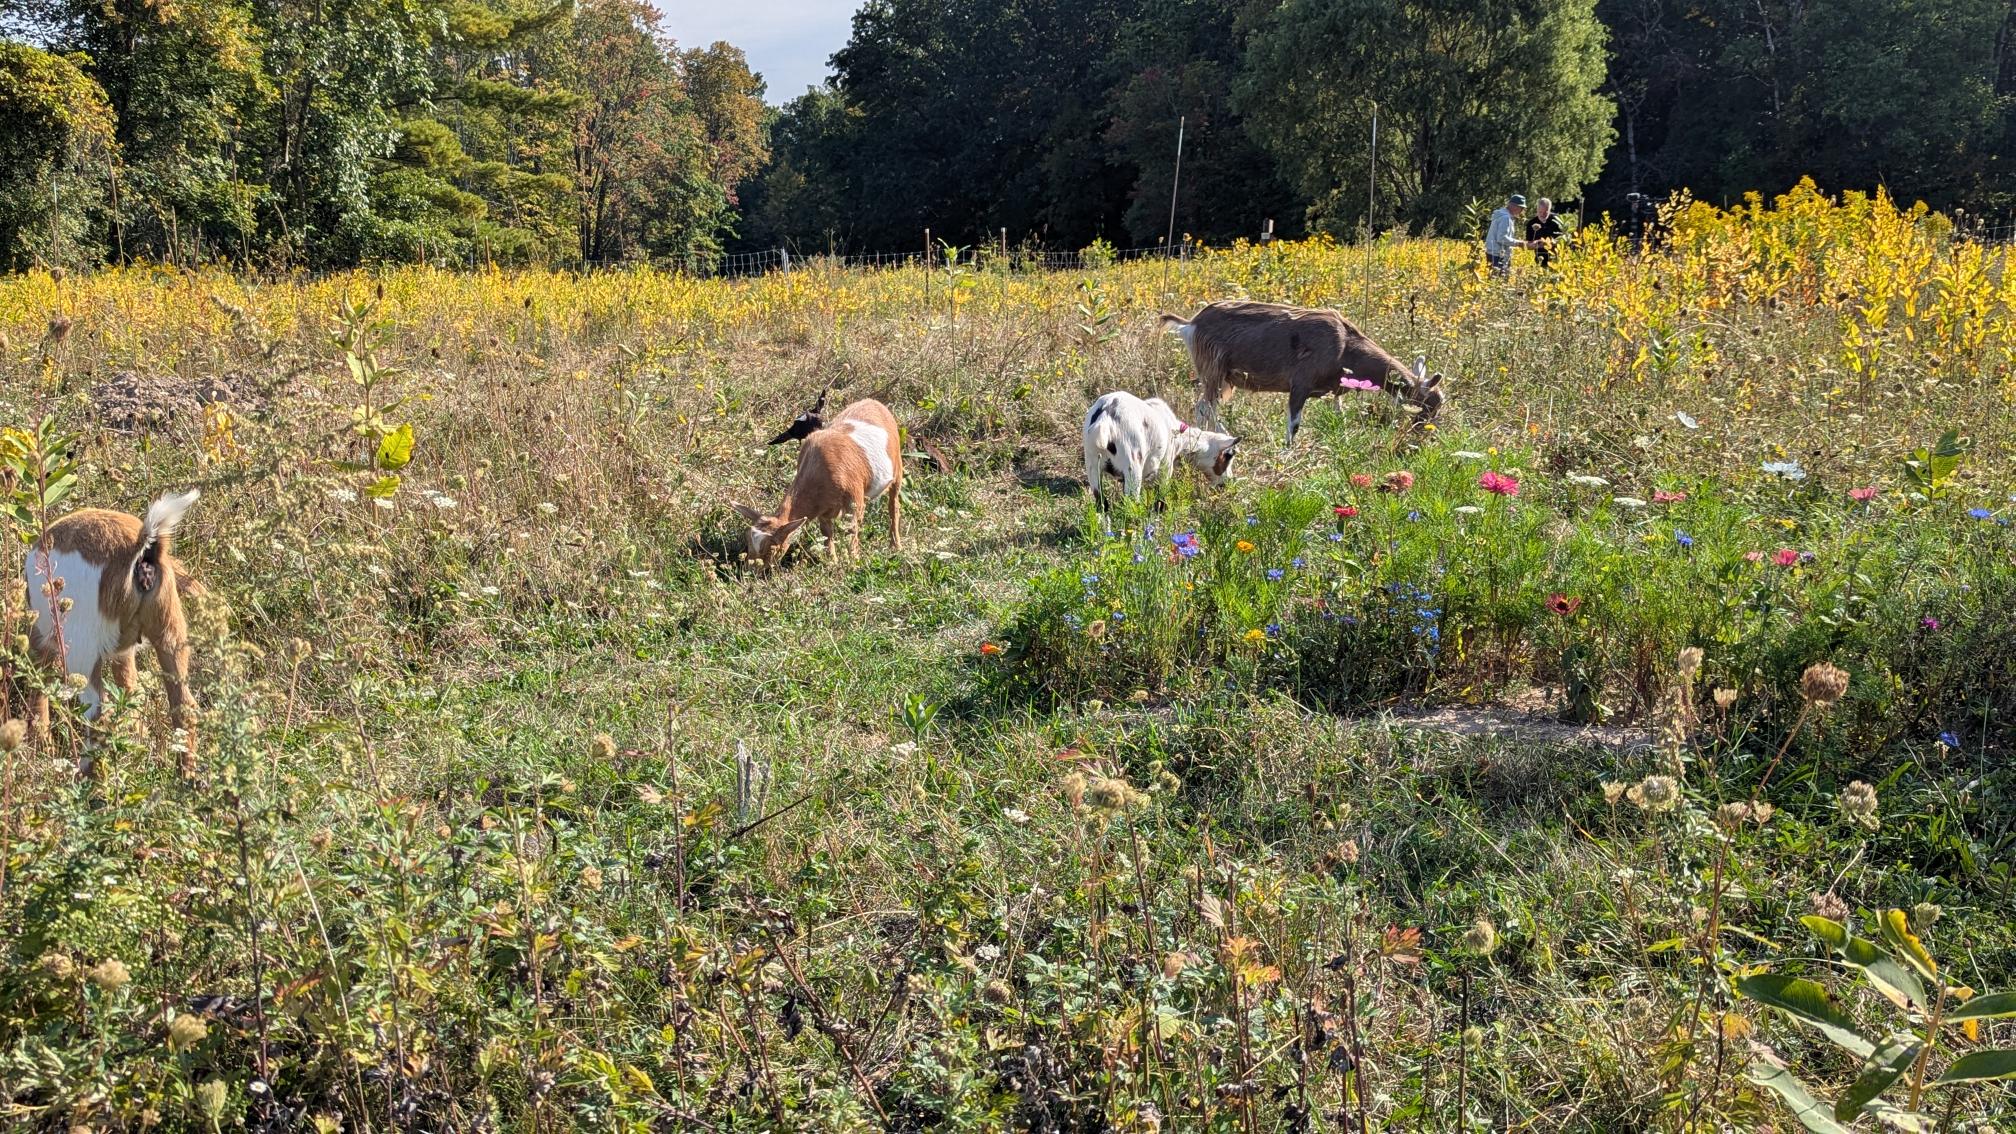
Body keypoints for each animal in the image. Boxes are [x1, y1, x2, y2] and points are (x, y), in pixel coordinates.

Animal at [25, 490, 201, 760]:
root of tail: (143, 546)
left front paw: (41, 745)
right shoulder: (123, 652)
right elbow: (128, 686)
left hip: (82, 655)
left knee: (97, 713)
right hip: (170, 635)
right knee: (184, 709)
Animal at [734, 399, 902, 567]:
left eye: (772, 547)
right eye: (748, 540)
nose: (751, 570)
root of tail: (873, 402)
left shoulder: (855, 504)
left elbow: (852, 532)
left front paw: (853, 562)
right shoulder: (823, 511)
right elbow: (827, 535)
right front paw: (832, 563)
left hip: (897, 469)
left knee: (893, 506)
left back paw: (895, 546)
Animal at [1082, 391, 1239, 507]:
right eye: (1229, 456)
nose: (1227, 483)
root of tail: (1106, 415)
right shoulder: (1165, 470)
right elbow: (1160, 501)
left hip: (1093, 468)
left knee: (1102, 505)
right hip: (1132, 469)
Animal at [1159, 300, 1446, 446]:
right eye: (1428, 404)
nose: (1424, 434)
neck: (1345, 346)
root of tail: (1191, 324)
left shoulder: (1335, 389)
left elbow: (1339, 415)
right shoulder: (1300, 383)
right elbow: (1294, 423)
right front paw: (1288, 450)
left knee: (1205, 406)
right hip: (1214, 369)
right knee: (1205, 406)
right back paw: (1225, 435)